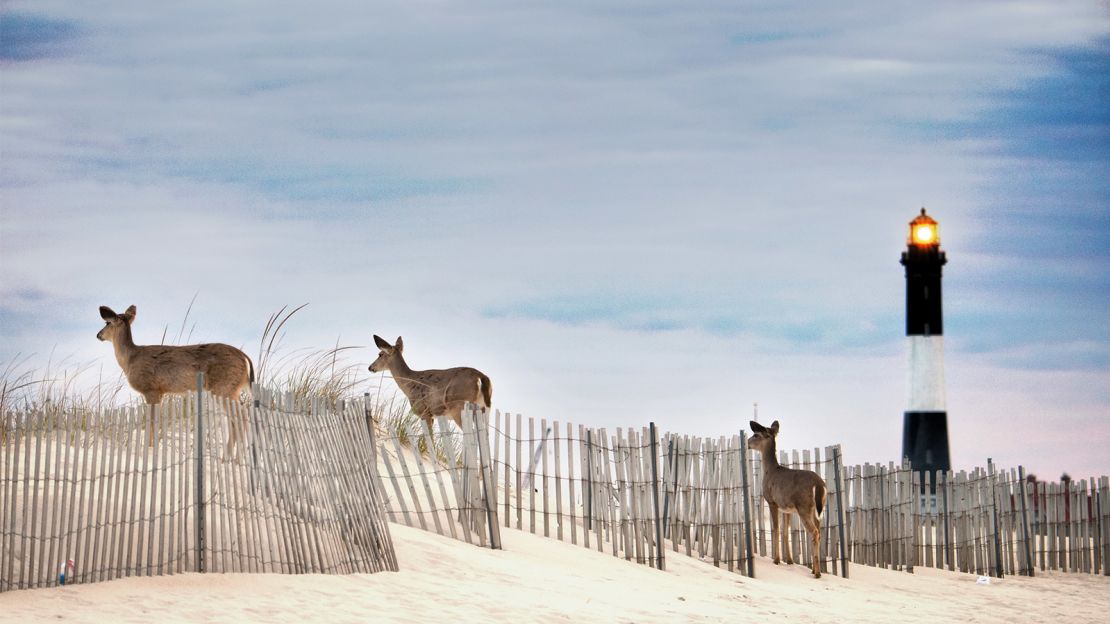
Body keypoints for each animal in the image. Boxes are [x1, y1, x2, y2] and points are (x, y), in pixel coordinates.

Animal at [96, 304, 254, 455]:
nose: (98, 335)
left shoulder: (150, 389)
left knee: (241, 415)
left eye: (107, 323)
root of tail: (245, 358)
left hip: (224, 387)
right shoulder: (160, 392)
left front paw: (150, 448)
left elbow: (152, 422)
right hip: (231, 389)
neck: (129, 359)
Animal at [750, 419, 830, 577]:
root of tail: (819, 484)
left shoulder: (772, 501)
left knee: (814, 532)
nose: (747, 442)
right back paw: (813, 569)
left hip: (803, 506)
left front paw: (776, 560)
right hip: (818, 508)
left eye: (756, 435)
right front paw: (789, 561)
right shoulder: (786, 508)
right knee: (818, 530)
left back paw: (817, 573)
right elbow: (785, 531)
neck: (770, 470)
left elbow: (775, 529)